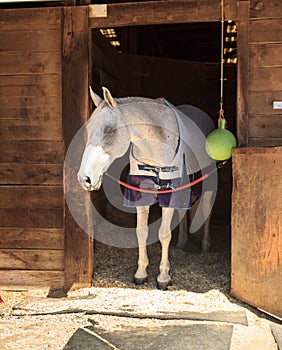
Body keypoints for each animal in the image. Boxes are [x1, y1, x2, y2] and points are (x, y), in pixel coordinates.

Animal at [77, 87, 218, 290]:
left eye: (109, 130)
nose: (85, 178)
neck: (155, 147)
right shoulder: (141, 195)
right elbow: (141, 232)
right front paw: (141, 273)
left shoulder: (168, 194)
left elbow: (164, 234)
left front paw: (163, 277)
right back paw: (182, 242)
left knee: (206, 213)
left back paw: (205, 247)